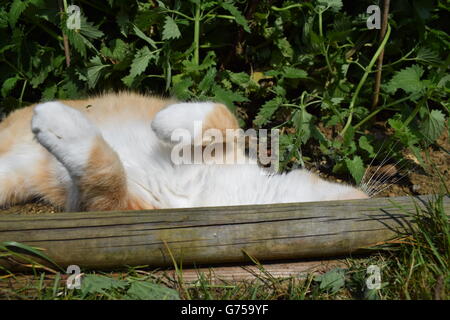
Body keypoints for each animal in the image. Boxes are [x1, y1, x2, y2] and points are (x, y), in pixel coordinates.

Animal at [0, 92, 368, 212]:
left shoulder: (107, 205)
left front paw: (60, 125)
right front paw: (168, 121)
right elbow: (225, 117)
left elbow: (106, 170)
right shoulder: (230, 146)